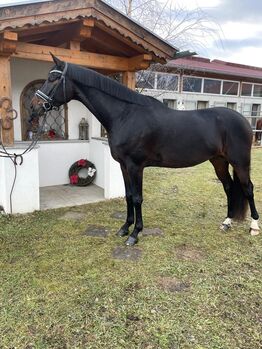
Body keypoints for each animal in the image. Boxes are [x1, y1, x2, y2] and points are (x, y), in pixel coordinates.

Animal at [31, 55, 260, 245]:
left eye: (53, 78)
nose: (34, 106)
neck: (125, 115)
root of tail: (243, 120)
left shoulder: (135, 166)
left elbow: (137, 198)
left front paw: (134, 235)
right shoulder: (123, 166)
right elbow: (128, 196)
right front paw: (125, 228)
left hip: (240, 162)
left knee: (248, 188)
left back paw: (254, 227)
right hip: (219, 160)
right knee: (229, 187)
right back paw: (226, 222)